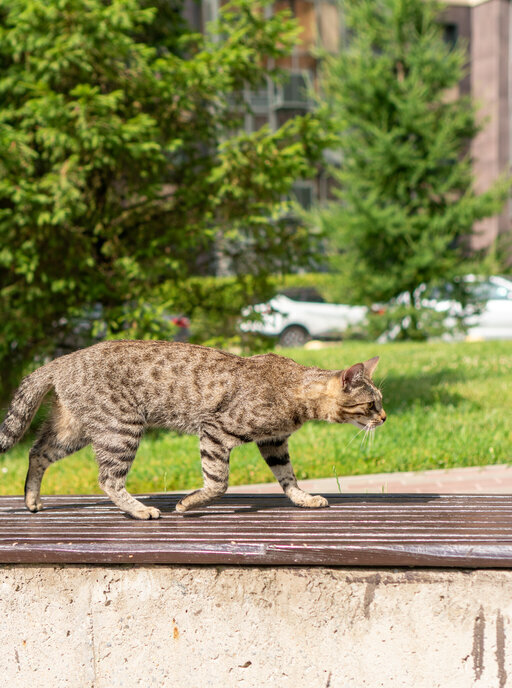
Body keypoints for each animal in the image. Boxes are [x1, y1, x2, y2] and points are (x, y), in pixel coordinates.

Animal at [0, 342, 384, 520]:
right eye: (371, 404)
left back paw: (31, 500)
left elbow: (288, 478)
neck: (296, 389)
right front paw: (187, 503)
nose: (383, 419)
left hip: (73, 431)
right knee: (108, 478)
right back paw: (140, 510)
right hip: (121, 429)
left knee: (37, 452)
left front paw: (303, 499)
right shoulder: (215, 430)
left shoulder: (274, 443)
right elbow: (218, 482)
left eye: (381, 402)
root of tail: (62, 359)